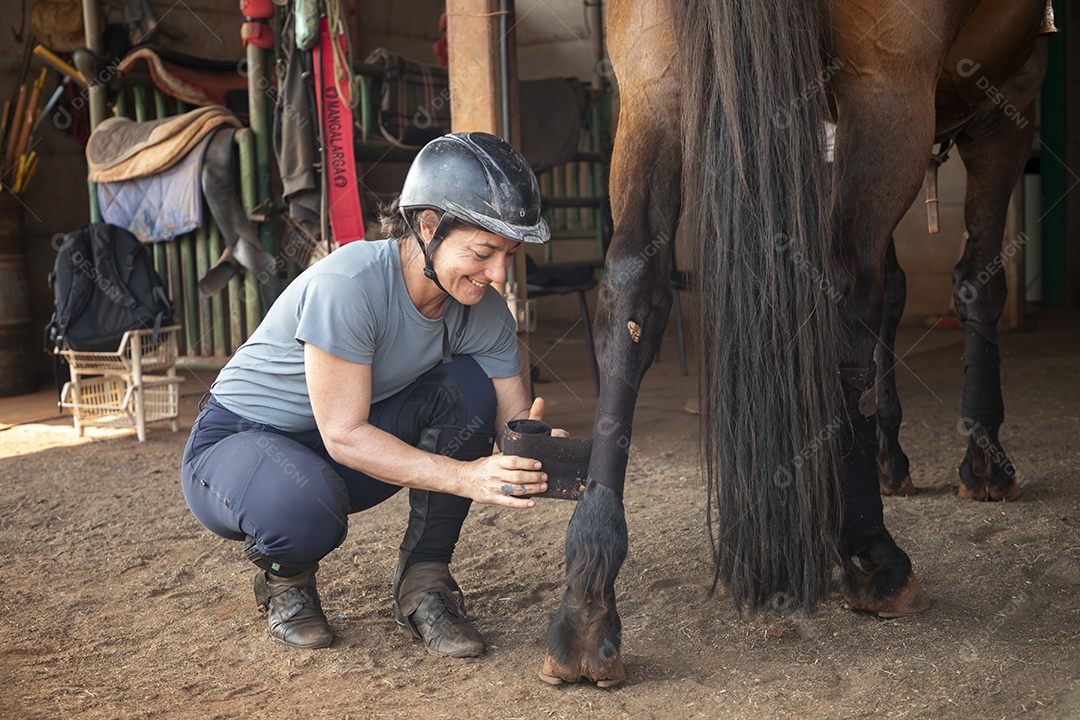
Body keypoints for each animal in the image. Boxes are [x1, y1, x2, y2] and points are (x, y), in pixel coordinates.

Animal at [538, 0, 1049, 687]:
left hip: (650, 82)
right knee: (850, 296)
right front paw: (985, 460)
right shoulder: (1008, 99)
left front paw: (890, 455)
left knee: (631, 292)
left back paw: (587, 597)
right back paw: (874, 558)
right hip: (890, 89)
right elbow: (975, 283)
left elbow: (896, 290)